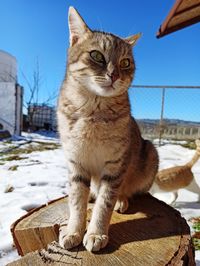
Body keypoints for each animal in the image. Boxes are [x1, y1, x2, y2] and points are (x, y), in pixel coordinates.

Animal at [57, 6, 159, 251]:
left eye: (125, 63)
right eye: (96, 56)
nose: (114, 75)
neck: (92, 113)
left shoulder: (115, 167)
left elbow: (105, 204)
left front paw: (96, 233)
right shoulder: (76, 163)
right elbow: (76, 202)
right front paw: (73, 231)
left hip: (150, 153)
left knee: (127, 191)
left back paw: (121, 199)